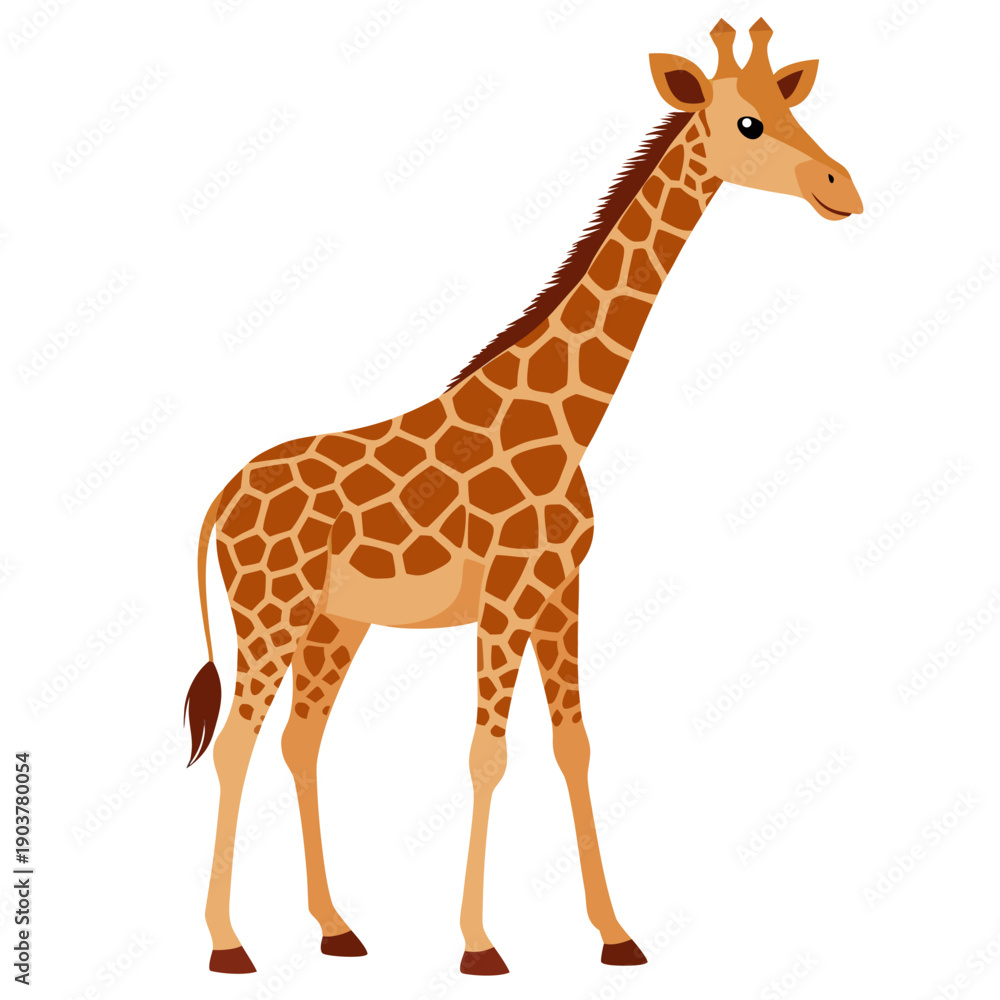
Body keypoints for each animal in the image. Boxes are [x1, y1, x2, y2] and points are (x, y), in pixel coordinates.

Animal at [184, 19, 862, 976]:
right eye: (748, 123)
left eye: (785, 103)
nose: (842, 189)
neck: (568, 418)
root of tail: (222, 496)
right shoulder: (505, 595)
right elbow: (487, 755)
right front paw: (478, 945)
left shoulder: (559, 594)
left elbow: (573, 747)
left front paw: (616, 935)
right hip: (269, 611)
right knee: (237, 744)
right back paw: (227, 944)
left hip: (335, 621)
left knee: (299, 740)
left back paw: (335, 929)